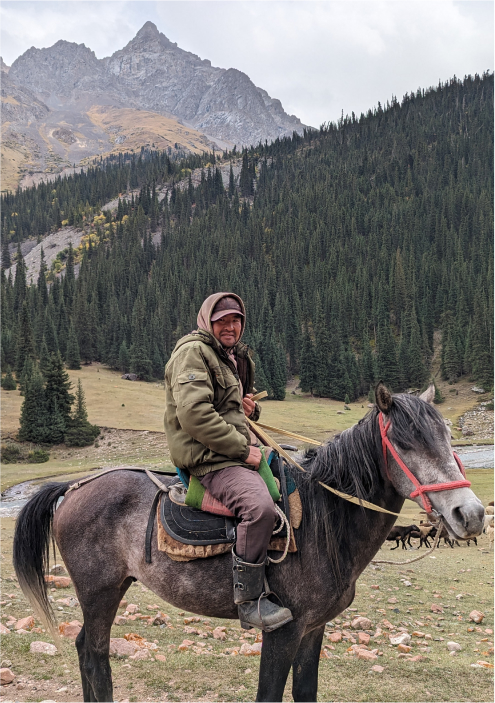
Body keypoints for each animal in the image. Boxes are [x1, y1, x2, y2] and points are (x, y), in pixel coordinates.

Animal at [12, 384, 484, 703]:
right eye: (405, 442)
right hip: (99, 591)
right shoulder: (284, 630)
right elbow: (269, 694)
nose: (472, 514)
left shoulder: (314, 628)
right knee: (95, 654)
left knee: (84, 649)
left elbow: (305, 692)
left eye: (447, 436)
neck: (324, 522)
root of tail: (74, 487)